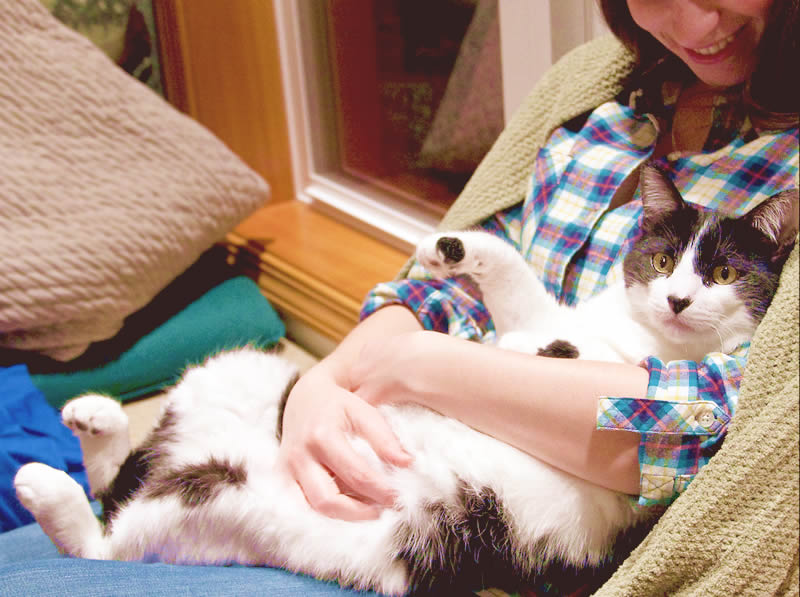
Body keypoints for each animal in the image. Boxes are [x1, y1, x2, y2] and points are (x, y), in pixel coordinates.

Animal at [15, 162, 796, 592]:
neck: (641, 334)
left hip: (224, 507)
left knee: (104, 544)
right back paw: (95, 420)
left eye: (725, 273)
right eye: (663, 259)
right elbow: (512, 276)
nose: (678, 300)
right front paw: (449, 246)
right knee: (118, 478)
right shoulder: (535, 317)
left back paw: (43, 483)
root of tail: (190, 456)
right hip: (238, 371)